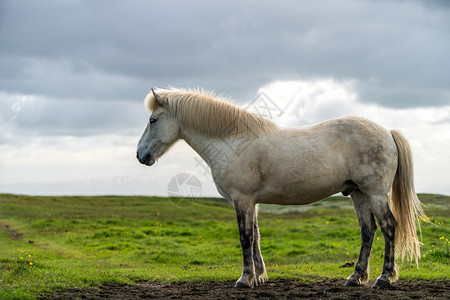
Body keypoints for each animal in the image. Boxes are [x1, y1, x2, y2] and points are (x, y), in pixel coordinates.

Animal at [137, 88, 428, 290]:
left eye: (153, 120)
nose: (140, 155)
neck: (232, 140)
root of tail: (387, 132)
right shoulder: (251, 201)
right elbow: (255, 236)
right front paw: (259, 277)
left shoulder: (242, 199)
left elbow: (245, 237)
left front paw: (244, 279)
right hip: (358, 193)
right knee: (368, 231)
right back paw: (355, 277)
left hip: (375, 193)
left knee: (389, 227)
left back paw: (384, 278)